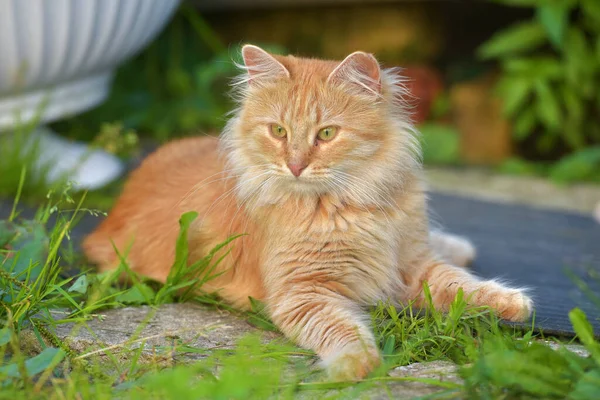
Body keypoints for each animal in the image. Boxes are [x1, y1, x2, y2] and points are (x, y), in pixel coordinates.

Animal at [82, 45, 532, 380]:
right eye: (278, 131)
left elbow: (462, 285)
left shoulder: (411, 263)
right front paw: (354, 366)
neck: (350, 204)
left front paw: (512, 302)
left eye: (327, 134)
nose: (295, 165)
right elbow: (343, 330)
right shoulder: (304, 293)